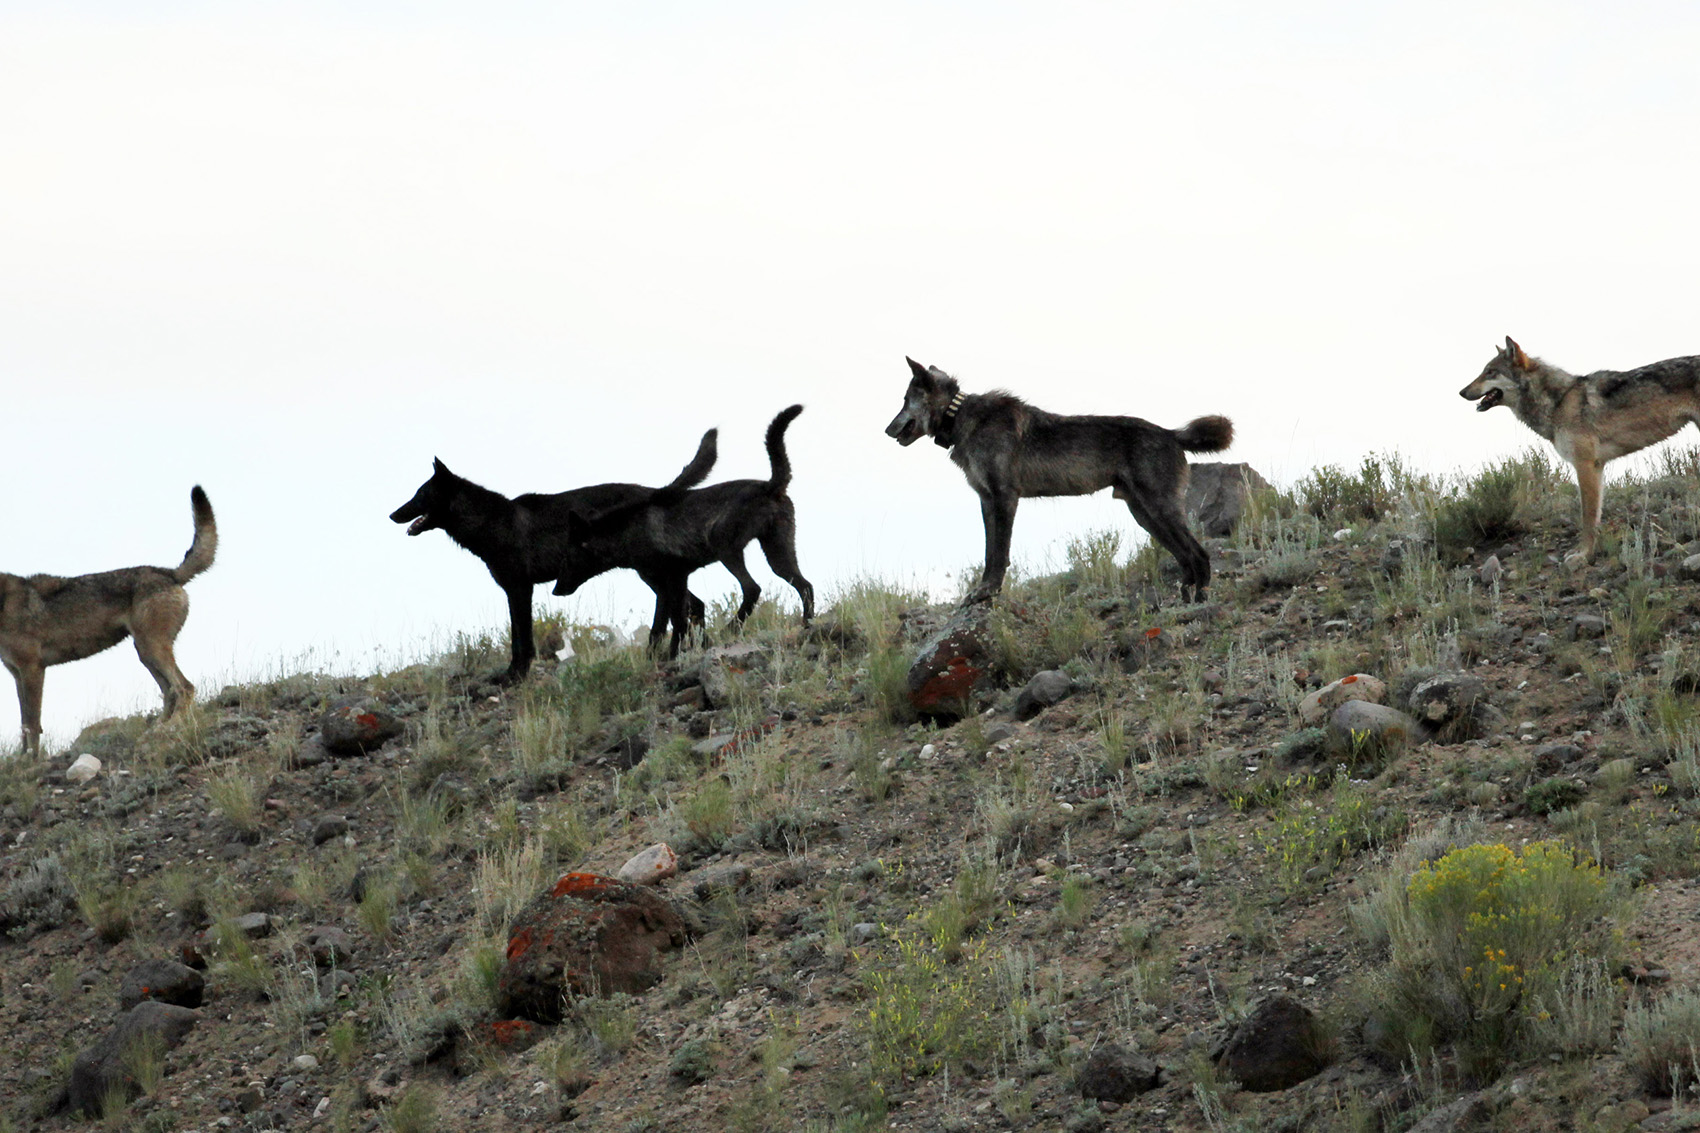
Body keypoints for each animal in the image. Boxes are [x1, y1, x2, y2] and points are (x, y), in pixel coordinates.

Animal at [1, 487, 216, 755]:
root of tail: (169, 573)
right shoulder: (16, 674)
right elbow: (24, 725)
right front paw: (22, 759)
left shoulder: (32, 670)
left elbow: (32, 724)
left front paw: (32, 760)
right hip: (144, 653)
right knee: (169, 693)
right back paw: (154, 730)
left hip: (152, 649)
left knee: (185, 688)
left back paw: (169, 728)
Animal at [390, 433, 717, 680]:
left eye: (420, 494)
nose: (392, 514)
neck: (491, 524)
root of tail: (656, 491)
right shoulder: (515, 589)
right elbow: (518, 636)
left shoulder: (520, 589)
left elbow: (522, 638)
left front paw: (516, 675)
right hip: (650, 573)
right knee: (690, 605)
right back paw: (687, 648)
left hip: (649, 572)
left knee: (681, 605)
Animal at [551, 405, 815, 657]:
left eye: (566, 559)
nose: (555, 590)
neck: (630, 533)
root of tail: (769, 485)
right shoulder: (664, 586)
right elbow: (660, 627)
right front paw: (657, 656)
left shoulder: (674, 578)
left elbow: (677, 622)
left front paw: (673, 653)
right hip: (778, 556)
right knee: (805, 586)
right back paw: (807, 625)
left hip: (727, 551)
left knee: (753, 588)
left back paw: (730, 629)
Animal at [885, 357, 1233, 602]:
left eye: (903, 400)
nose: (887, 430)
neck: (961, 418)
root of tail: (1171, 434)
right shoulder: (986, 501)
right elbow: (988, 553)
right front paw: (983, 590)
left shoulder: (1004, 498)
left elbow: (999, 554)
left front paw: (989, 592)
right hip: (1145, 516)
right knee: (1185, 558)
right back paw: (1184, 601)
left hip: (1159, 511)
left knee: (1200, 555)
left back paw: (1200, 601)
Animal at [1460, 337, 1700, 567]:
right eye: (1484, 370)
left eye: (1490, 372)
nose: (1461, 392)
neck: (1559, 402)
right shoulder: (1597, 467)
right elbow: (1594, 517)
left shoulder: (1586, 465)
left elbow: (1588, 517)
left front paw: (1583, 555)